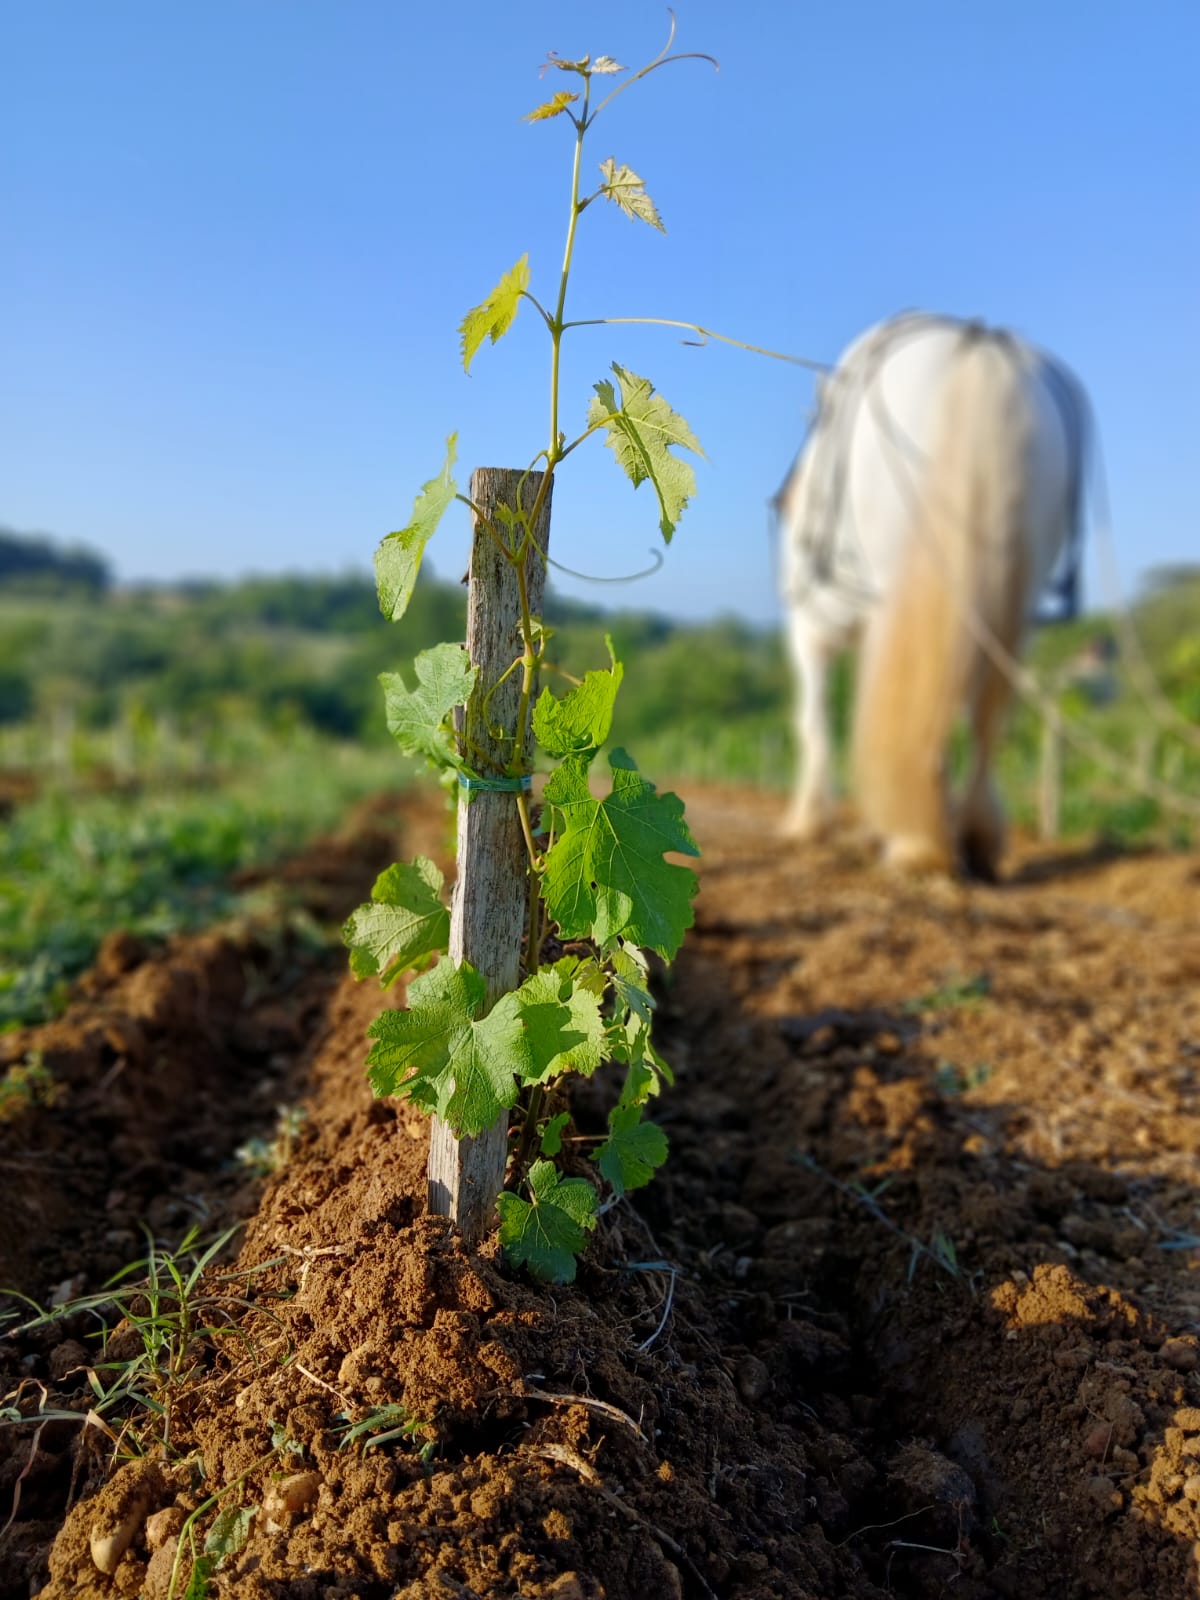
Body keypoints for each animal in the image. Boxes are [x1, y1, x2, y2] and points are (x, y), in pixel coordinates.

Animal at [776, 310, 1088, 878]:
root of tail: (979, 349)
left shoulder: (811, 630)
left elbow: (813, 720)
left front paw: (808, 820)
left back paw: (916, 841)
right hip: (1012, 602)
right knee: (986, 719)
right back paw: (975, 836)